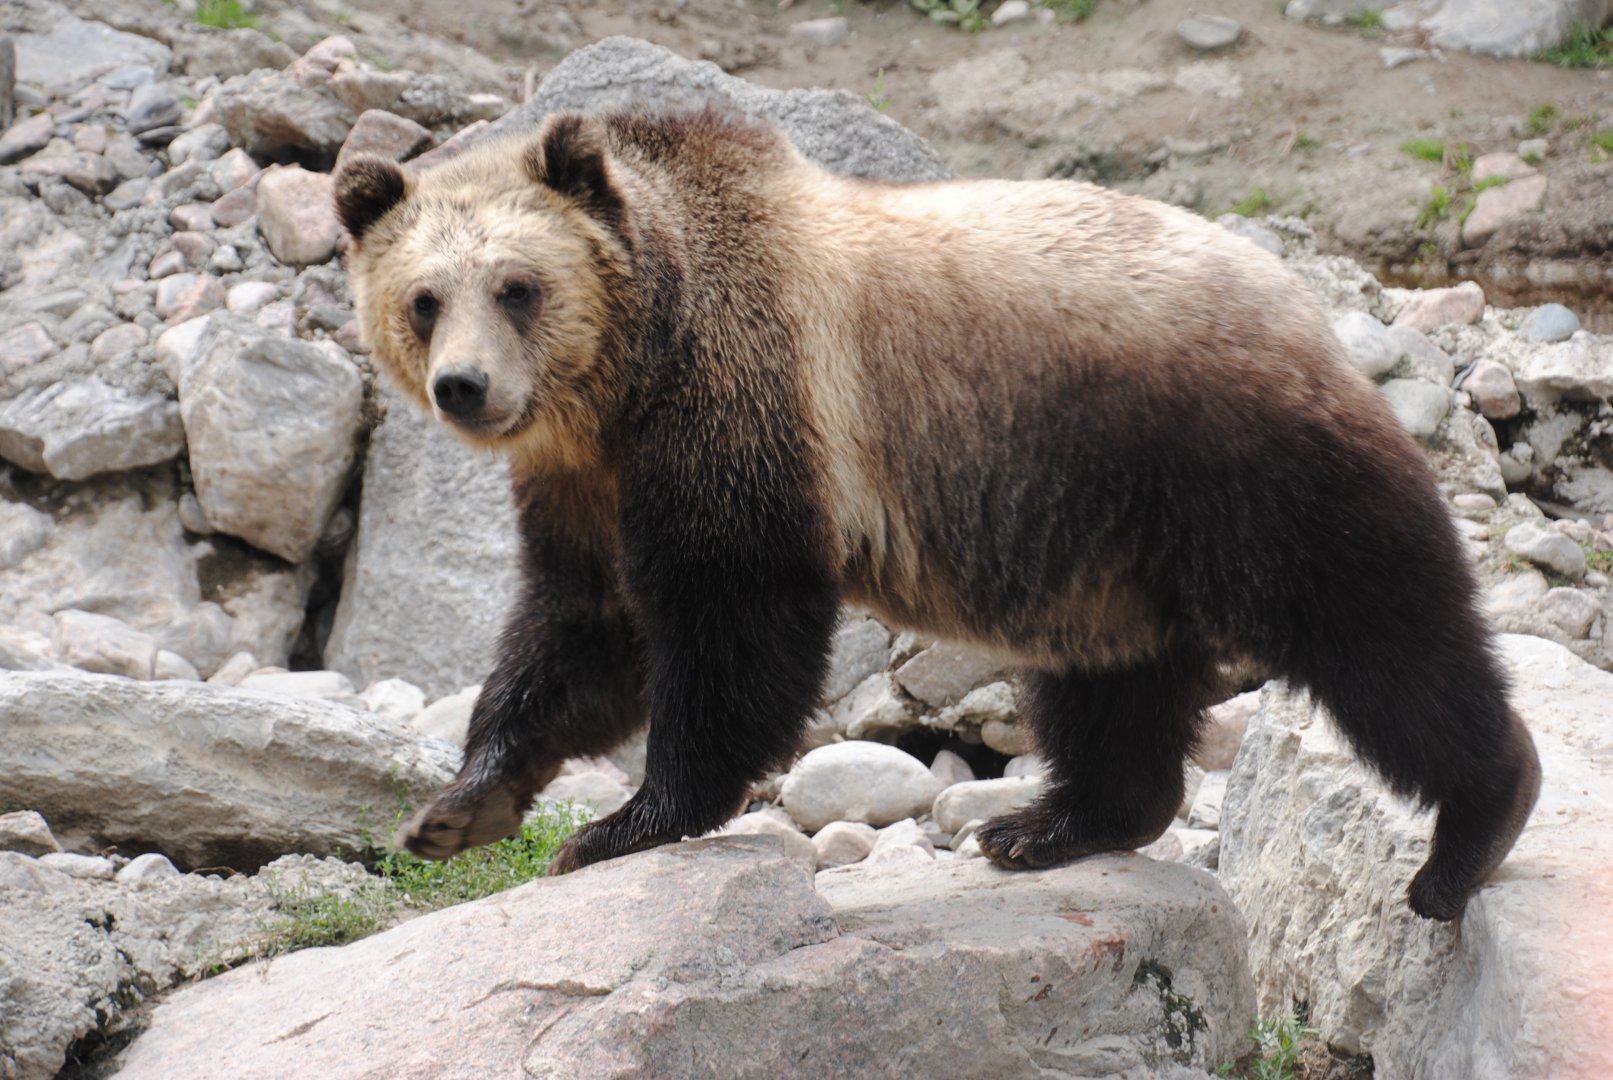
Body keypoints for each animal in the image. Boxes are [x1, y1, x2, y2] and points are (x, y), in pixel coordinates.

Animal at [333, 106, 1540, 921]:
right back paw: (1052, 823)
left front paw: (621, 823)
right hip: (1104, 535)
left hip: (1231, 465)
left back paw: (1468, 833)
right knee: (1110, 682)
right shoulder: (588, 478)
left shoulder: (742, 413)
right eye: (423, 299)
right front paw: (458, 806)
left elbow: (730, 627)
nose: (466, 388)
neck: (630, 376)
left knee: (1378, 638)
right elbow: (582, 626)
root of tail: (1312, 310)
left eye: (519, 287)